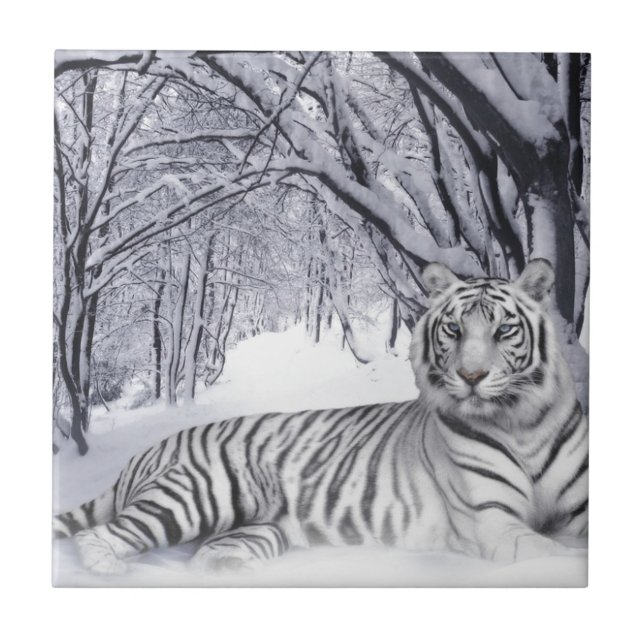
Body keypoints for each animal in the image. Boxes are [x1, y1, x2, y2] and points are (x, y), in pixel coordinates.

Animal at [53, 259, 588, 575]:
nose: (471, 376)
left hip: (255, 530)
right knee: (95, 534)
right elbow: (559, 556)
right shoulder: (493, 522)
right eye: (453, 329)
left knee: (206, 556)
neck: (523, 424)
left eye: (504, 331)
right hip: (194, 496)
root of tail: (144, 453)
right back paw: (110, 572)